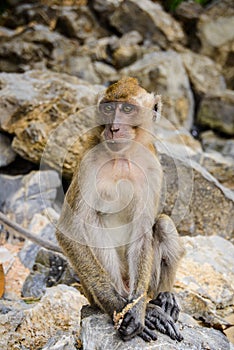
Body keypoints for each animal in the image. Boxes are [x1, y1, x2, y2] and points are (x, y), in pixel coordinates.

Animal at [55, 76, 184, 342]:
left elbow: (143, 230)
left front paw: (137, 311)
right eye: (107, 108)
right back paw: (135, 305)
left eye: (126, 109)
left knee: (163, 223)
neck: (123, 156)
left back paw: (159, 298)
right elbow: (70, 230)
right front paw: (120, 308)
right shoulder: (88, 163)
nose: (113, 128)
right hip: (91, 289)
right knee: (92, 223)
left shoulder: (153, 166)